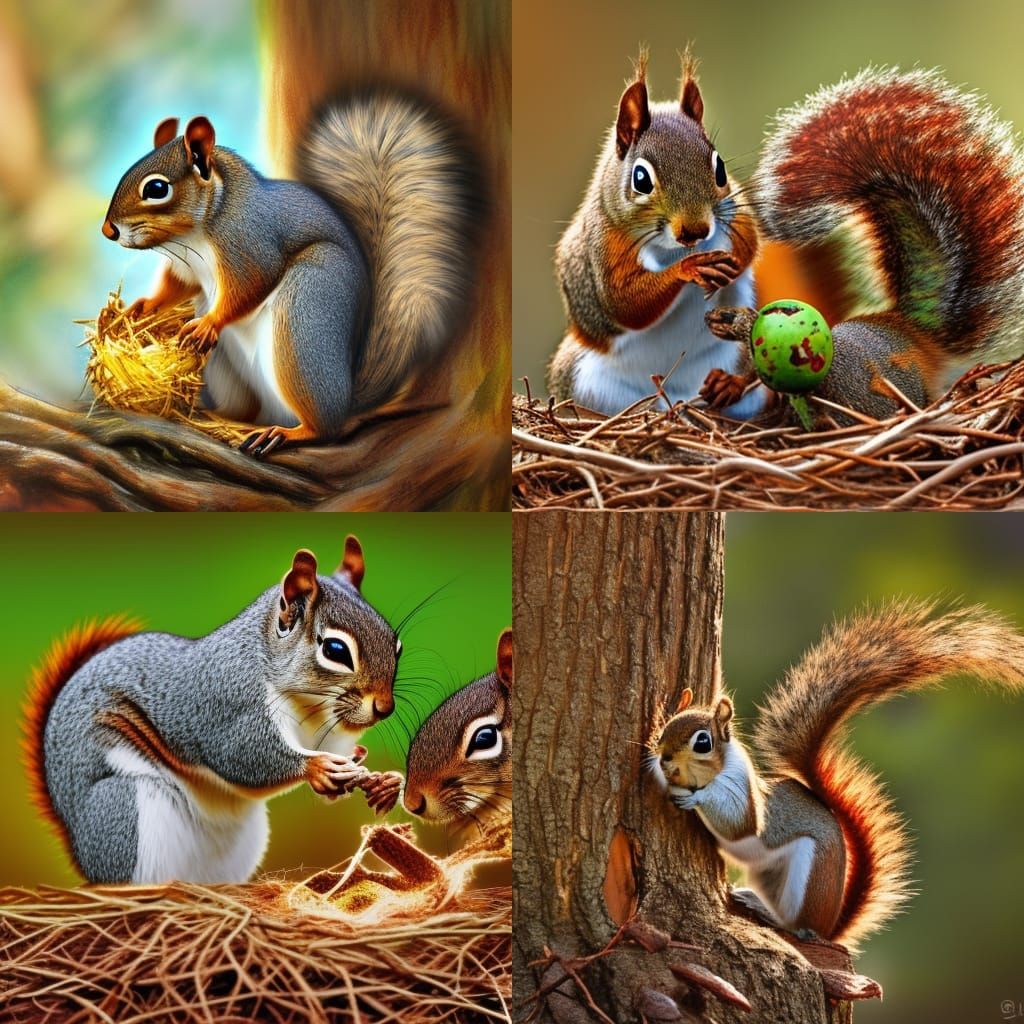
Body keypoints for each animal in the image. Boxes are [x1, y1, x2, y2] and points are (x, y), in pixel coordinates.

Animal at [22, 535, 403, 885]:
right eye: (336, 650)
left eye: (396, 645)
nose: (384, 708)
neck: (310, 706)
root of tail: (78, 846)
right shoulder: (226, 705)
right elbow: (238, 754)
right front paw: (318, 767)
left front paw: (379, 779)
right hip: (124, 810)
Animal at [101, 91, 482, 457]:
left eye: (156, 189)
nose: (108, 231)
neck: (198, 228)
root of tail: (348, 397)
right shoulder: (186, 265)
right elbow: (178, 287)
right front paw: (143, 308)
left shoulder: (251, 243)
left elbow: (252, 283)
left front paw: (208, 323)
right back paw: (214, 418)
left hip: (305, 321)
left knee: (325, 429)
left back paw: (287, 433)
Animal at [548, 51, 768, 419]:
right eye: (640, 179)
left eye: (720, 168)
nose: (696, 231)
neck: (674, 248)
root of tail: (674, 398)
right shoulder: (604, 246)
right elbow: (625, 302)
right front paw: (690, 268)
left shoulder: (735, 210)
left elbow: (749, 240)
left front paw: (731, 262)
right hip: (581, 376)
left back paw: (729, 383)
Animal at [650, 601, 1024, 948]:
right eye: (666, 727)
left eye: (703, 742)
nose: (665, 757)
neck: (721, 766)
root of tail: (830, 927)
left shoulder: (742, 791)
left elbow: (737, 822)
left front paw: (693, 796)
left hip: (808, 875)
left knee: (798, 928)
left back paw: (767, 912)